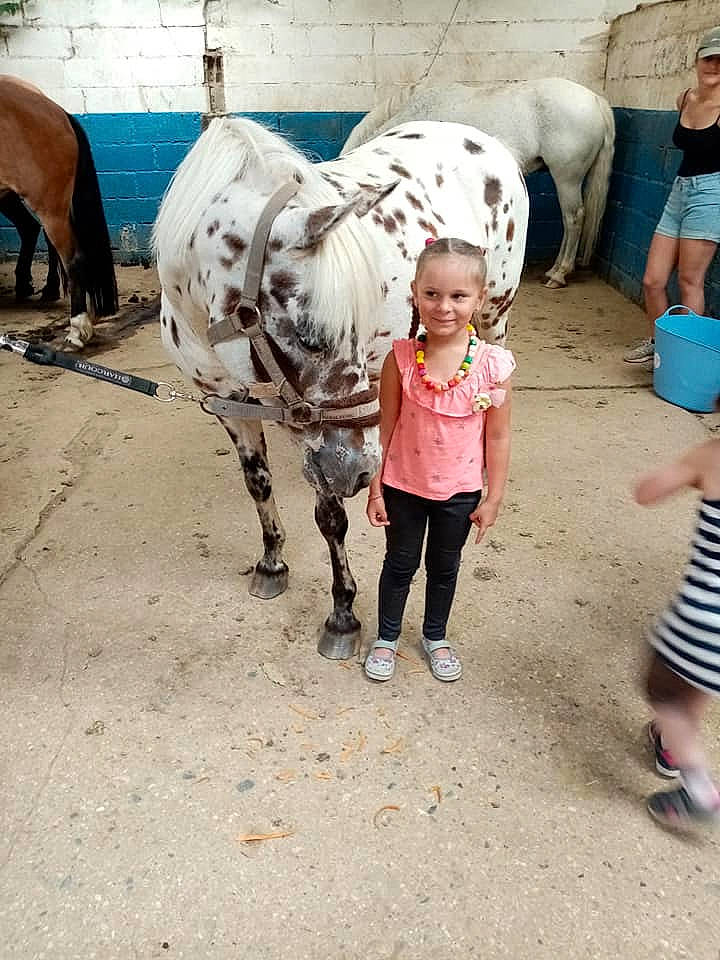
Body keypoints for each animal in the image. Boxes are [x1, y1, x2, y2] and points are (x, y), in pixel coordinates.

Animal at [153, 117, 528, 658]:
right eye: (311, 336)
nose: (363, 471)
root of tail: (484, 138)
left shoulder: (317, 435)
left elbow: (330, 517)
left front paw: (343, 614)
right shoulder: (230, 404)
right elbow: (258, 483)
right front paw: (272, 563)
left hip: (494, 313)